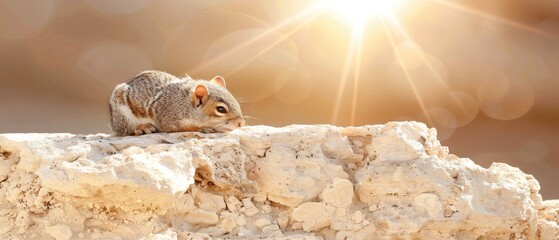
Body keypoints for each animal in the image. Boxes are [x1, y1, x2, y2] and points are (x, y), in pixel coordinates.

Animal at [109, 70, 245, 136]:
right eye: (221, 109)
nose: (241, 124)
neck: (184, 103)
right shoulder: (169, 117)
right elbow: (183, 128)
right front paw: (206, 128)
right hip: (123, 116)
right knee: (126, 130)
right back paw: (142, 128)